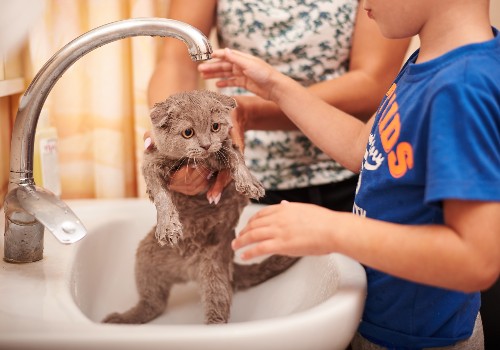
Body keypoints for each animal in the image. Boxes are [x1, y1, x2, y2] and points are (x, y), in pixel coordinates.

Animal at [101, 90, 296, 326]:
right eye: (188, 132)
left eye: (215, 126)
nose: (206, 145)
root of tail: (187, 270)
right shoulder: (151, 160)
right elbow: (161, 195)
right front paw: (168, 226)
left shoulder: (224, 146)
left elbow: (236, 158)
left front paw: (249, 183)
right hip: (146, 257)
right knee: (153, 303)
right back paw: (121, 318)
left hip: (215, 270)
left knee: (215, 306)